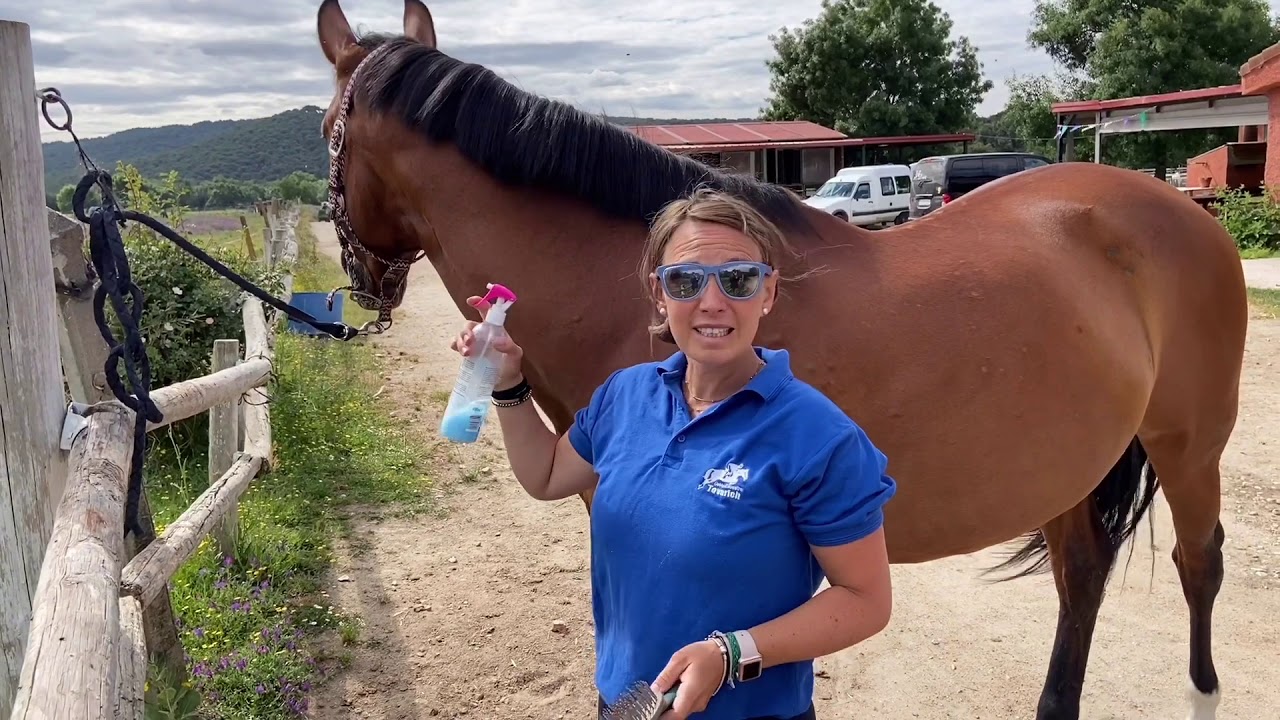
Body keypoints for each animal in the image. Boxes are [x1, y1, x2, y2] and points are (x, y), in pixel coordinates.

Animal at [312, 2, 1248, 718]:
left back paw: (1203, 690)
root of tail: (1180, 209)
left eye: (326, 130)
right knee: (1082, 576)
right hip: (1068, 464)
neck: (644, 284)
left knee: (1199, 563)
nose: (363, 282)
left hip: (1190, 445)